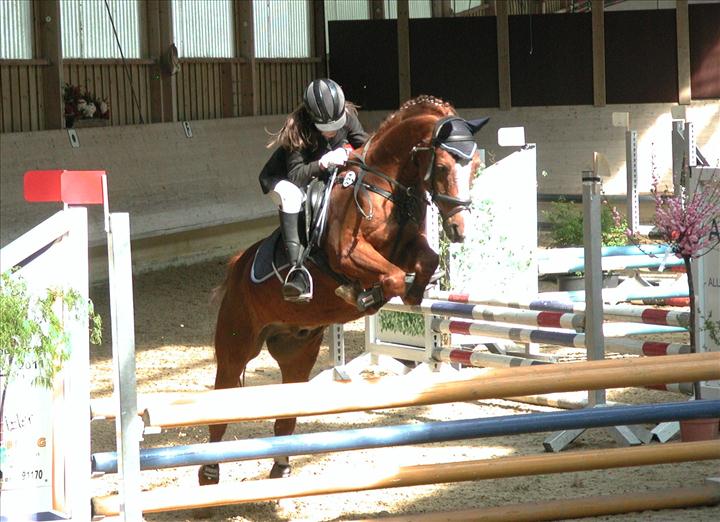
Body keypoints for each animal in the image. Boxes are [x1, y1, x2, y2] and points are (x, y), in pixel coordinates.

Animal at [198, 95, 487, 485]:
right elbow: (392, 276)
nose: (459, 230)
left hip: (297, 352)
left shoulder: (407, 246)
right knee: (222, 401)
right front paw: (364, 295)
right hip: (236, 345)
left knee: (285, 415)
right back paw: (209, 473)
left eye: (475, 166)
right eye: (441, 166)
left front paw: (412, 293)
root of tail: (236, 268)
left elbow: (423, 262)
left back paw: (280, 469)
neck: (383, 185)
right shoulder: (348, 255)